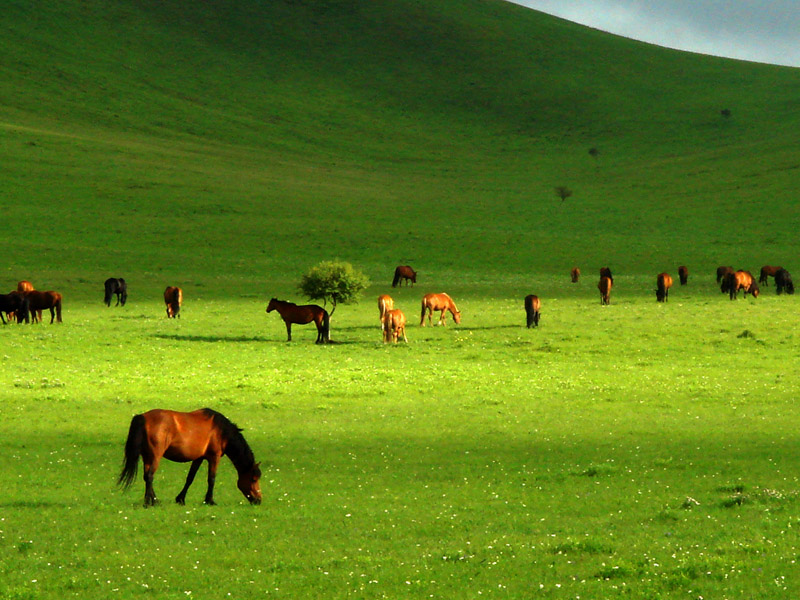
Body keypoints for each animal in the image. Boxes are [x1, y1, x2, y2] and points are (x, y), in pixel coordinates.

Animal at [118, 408, 262, 506]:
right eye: (253, 479)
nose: (258, 500)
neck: (221, 431)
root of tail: (143, 417)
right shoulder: (214, 457)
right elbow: (212, 479)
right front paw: (210, 500)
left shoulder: (199, 458)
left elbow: (190, 478)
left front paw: (180, 499)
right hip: (155, 456)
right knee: (149, 476)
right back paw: (148, 503)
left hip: (147, 457)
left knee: (146, 476)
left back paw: (155, 500)